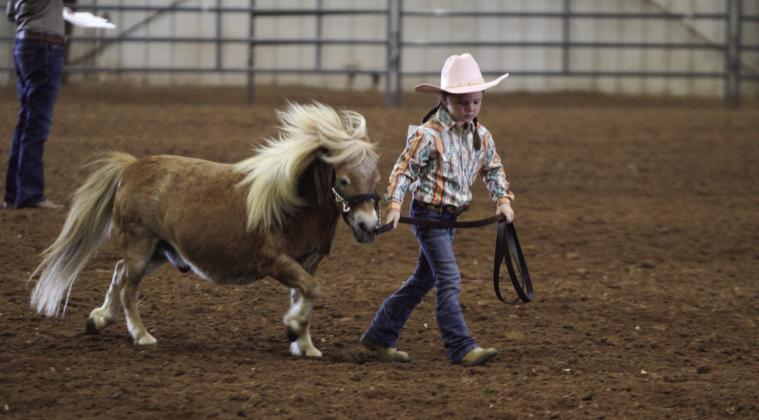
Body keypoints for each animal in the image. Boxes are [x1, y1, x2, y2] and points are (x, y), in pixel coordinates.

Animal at [30, 102, 381, 358]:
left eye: (376, 177)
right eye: (343, 179)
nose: (369, 225)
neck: (291, 204)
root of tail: (130, 168)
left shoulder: (307, 263)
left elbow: (306, 294)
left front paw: (305, 345)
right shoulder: (277, 262)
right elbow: (312, 291)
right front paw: (293, 329)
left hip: (160, 251)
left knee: (118, 273)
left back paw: (99, 319)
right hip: (141, 245)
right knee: (128, 286)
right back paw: (142, 336)